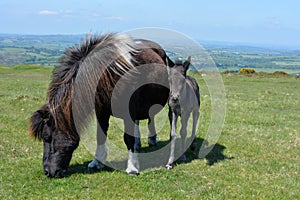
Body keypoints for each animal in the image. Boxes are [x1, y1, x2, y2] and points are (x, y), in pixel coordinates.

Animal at [29, 33, 173, 177]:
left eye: (47, 137)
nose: (48, 172)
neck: (109, 75)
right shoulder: (101, 112)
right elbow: (100, 136)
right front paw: (96, 163)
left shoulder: (128, 112)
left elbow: (128, 138)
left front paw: (132, 168)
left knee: (151, 117)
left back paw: (152, 139)